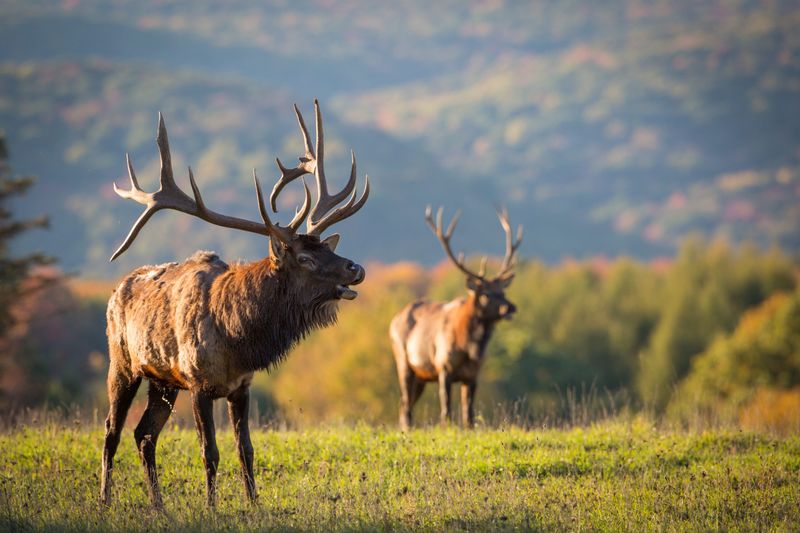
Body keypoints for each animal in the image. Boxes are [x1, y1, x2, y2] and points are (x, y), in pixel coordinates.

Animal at [99, 101, 368, 508]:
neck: (238, 338)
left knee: (144, 435)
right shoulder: (198, 383)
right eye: (305, 258)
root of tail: (115, 291)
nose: (356, 268)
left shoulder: (242, 386)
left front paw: (255, 506)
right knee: (111, 431)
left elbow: (247, 451)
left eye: (326, 247)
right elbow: (209, 452)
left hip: (163, 382)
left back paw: (159, 507)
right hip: (123, 362)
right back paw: (105, 500)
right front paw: (211, 508)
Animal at [390, 207, 524, 428]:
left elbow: (468, 413)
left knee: (404, 405)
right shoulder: (444, 367)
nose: (511, 307)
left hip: (421, 377)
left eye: (502, 292)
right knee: (405, 404)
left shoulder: (473, 375)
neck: (470, 348)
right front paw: (447, 429)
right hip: (403, 362)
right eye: (486, 294)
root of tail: (393, 320)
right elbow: (447, 410)